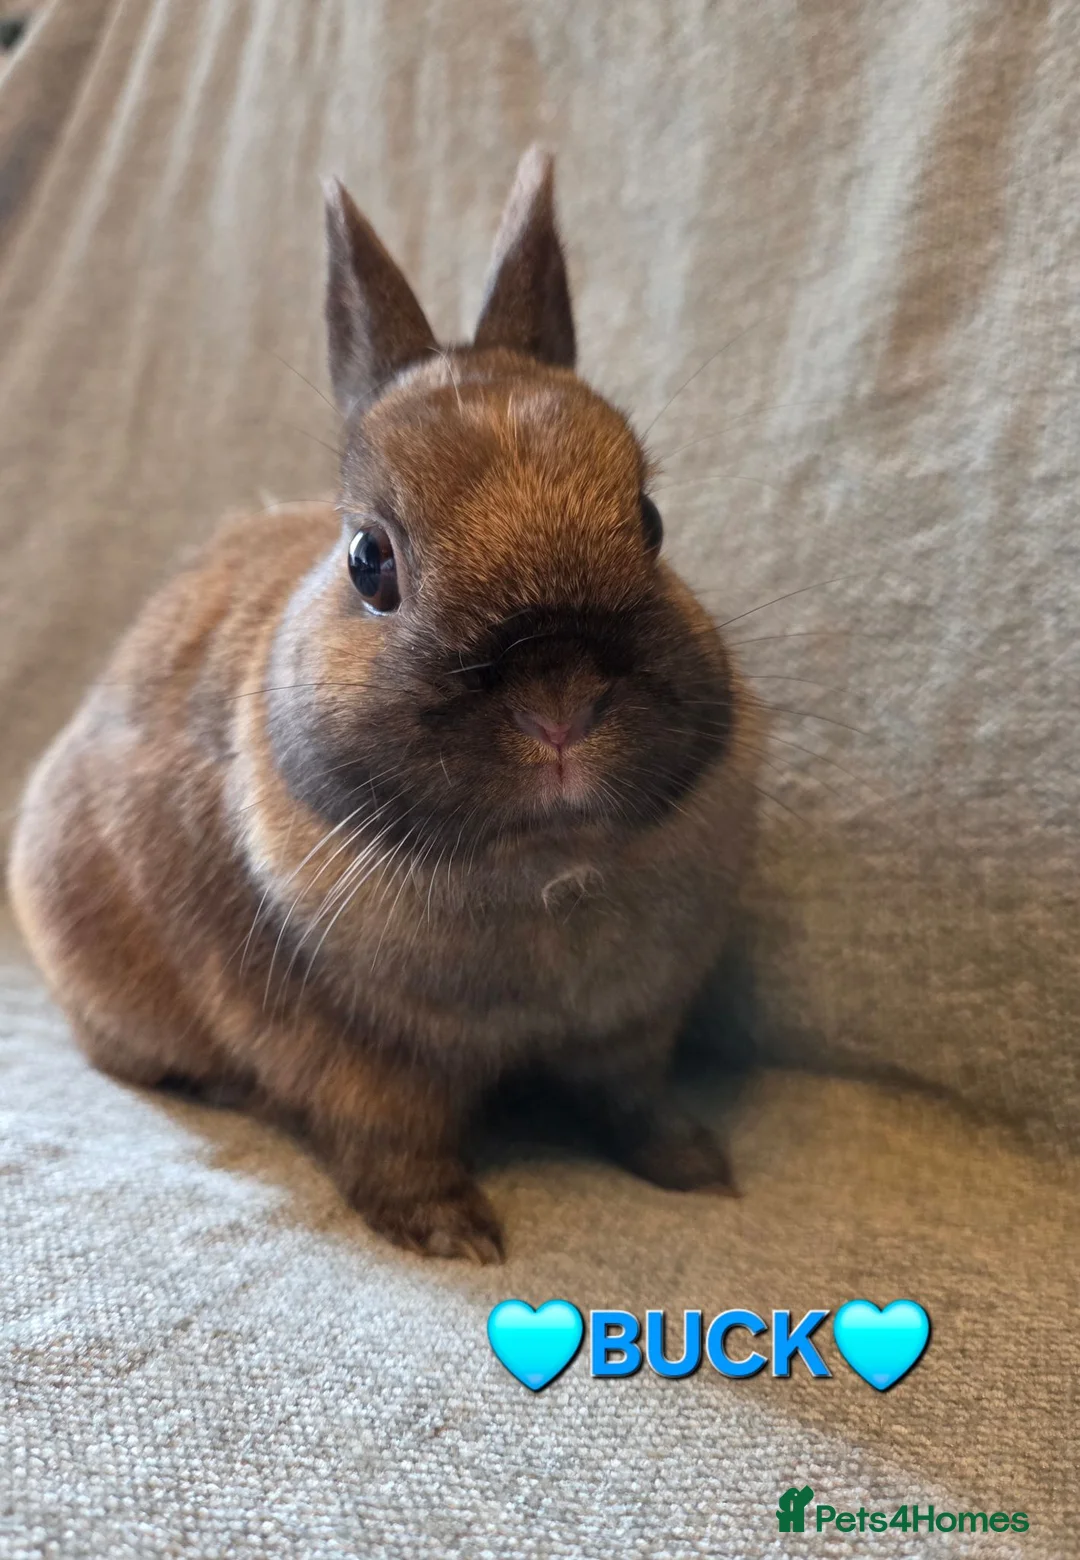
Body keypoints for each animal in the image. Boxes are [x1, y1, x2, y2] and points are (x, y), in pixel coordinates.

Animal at [8, 145, 761, 1263]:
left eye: (651, 520)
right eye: (371, 561)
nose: (560, 703)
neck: (544, 870)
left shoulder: (631, 1029)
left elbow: (636, 1105)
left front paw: (699, 1169)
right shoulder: (354, 1059)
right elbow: (394, 1142)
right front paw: (454, 1234)